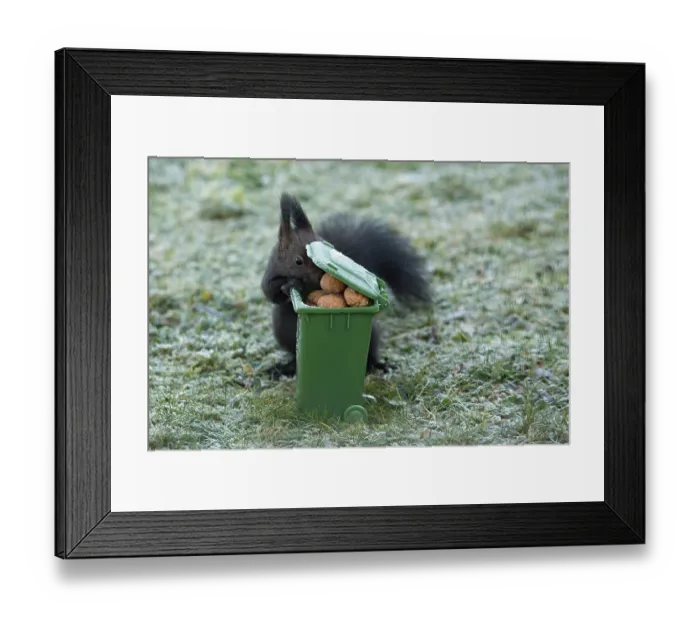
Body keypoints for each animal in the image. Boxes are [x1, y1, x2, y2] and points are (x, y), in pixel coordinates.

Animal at [260, 193, 433, 379]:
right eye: (298, 261)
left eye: (326, 244)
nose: (321, 274)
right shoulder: (270, 273)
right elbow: (270, 292)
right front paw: (287, 285)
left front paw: (298, 284)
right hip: (282, 332)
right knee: (294, 354)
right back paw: (285, 367)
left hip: (372, 334)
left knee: (370, 353)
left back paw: (377, 364)